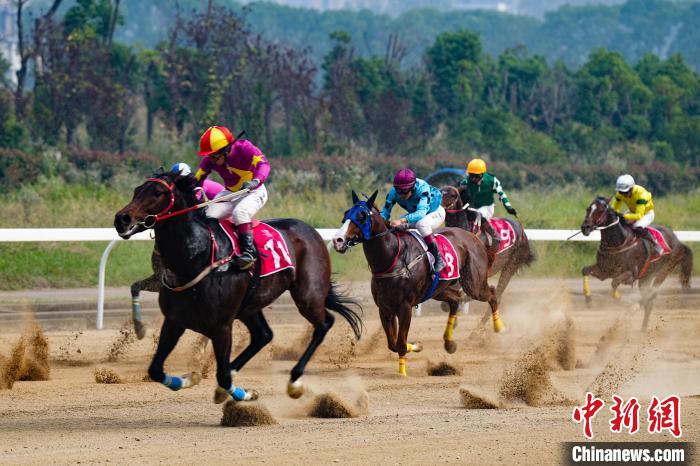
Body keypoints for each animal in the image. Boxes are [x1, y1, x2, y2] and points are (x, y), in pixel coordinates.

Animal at [113, 173, 360, 402]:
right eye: (136, 190)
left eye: (157, 193)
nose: (121, 219)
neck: (196, 257)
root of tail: (311, 231)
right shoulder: (174, 321)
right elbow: (155, 369)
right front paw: (189, 378)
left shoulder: (221, 326)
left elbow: (222, 376)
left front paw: (245, 393)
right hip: (250, 306)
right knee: (263, 335)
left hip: (307, 295)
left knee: (323, 324)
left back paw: (294, 381)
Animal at [330, 189, 500, 374]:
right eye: (346, 214)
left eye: (361, 216)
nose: (338, 240)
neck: (392, 259)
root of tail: (474, 237)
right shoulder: (385, 308)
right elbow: (393, 344)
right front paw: (417, 346)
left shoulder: (405, 307)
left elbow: (401, 344)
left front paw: (403, 373)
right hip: (438, 290)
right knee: (456, 299)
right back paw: (449, 343)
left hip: (474, 284)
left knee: (492, 293)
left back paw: (499, 327)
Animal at [580, 195, 688, 330]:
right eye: (588, 209)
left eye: (600, 210)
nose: (585, 227)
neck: (618, 242)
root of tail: (678, 240)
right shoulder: (604, 270)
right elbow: (585, 270)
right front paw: (588, 299)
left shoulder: (631, 274)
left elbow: (614, 282)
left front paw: (619, 299)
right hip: (646, 277)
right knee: (648, 301)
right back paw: (643, 328)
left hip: (664, 270)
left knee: (650, 295)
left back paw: (634, 310)